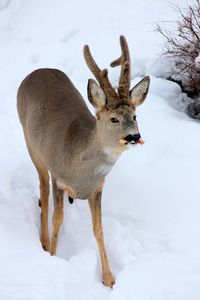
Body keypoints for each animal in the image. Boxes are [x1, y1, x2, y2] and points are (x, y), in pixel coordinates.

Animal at [17, 36, 150, 288]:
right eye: (113, 119)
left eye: (135, 116)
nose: (134, 136)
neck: (81, 170)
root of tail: (38, 70)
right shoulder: (59, 179)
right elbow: (57, 220)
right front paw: (52, 256)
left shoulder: (97, 189)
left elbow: (98, 229)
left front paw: (109, 279)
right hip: (31, 144)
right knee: (43, 189)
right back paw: (42, 240)